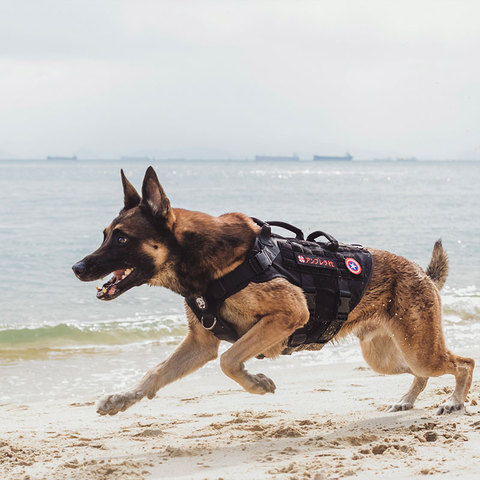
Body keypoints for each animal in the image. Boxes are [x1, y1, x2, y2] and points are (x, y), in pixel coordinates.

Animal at [73, 168, 474, 416]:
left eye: (121, 238)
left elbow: (229, 359)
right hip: (388, 357)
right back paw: (408, 399)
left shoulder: (288, 314)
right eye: (105, 235)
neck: (201, 258)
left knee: (464, 363)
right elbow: (155, 373)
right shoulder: (199, 343)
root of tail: (423, 274)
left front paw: (256, 382)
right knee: (423, 372)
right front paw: (121, 398)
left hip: (418, 349)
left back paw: (454, 402)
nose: (77, 268)